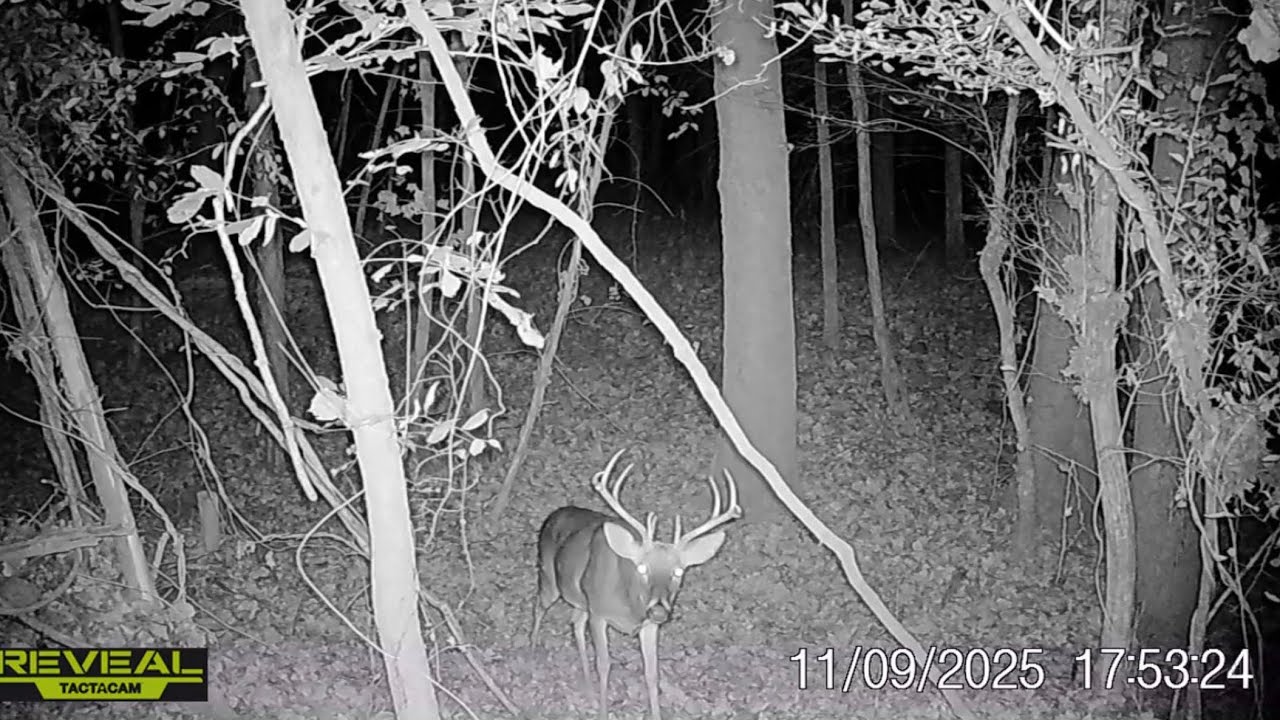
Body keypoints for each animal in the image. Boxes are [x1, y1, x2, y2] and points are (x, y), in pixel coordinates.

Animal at [531, 449, 741, 720]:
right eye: (642, 567)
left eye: (678, 571)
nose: (660, 611)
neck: (629, 605)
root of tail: (555, 513)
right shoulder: (599, 613)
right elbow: (604, 664)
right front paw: (603, 712)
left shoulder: (648, 625)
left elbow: (652, 673)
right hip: (548, 575)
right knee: (539, 605)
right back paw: (531, 651)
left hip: (581, 599)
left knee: (575, 622)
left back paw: (587, 689)